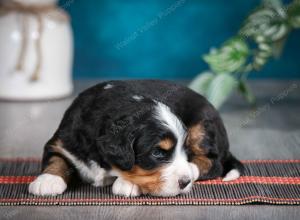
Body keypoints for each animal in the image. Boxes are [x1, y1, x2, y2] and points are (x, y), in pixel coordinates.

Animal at [28, 80, 244, 197]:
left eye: (185, 151)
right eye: (157, 153)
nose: (184, 182)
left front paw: (128, 183)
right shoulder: (61, 141)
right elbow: (56, 159)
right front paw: (47, 180)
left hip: (201, 124)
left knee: (213, 163)